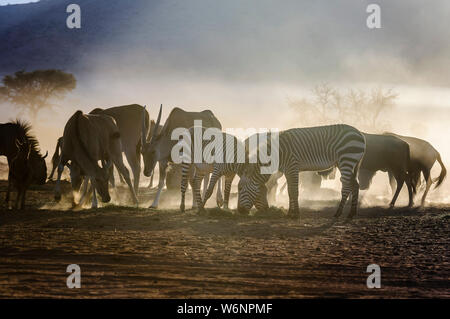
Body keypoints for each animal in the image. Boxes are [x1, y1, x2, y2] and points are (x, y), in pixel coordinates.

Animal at [236, 125, 366, 220]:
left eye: (240, 188)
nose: (239, 211)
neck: (279, 153)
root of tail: (359, 133)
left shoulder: (293, 167)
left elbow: (294, 191)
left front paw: (296, 214)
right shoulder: (288, 171)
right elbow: (290, 192)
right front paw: (289, 213)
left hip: (346, 160)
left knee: (346, 186)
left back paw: (338, 213)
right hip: (349, 163)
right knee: (355, 185)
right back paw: (351, 213)